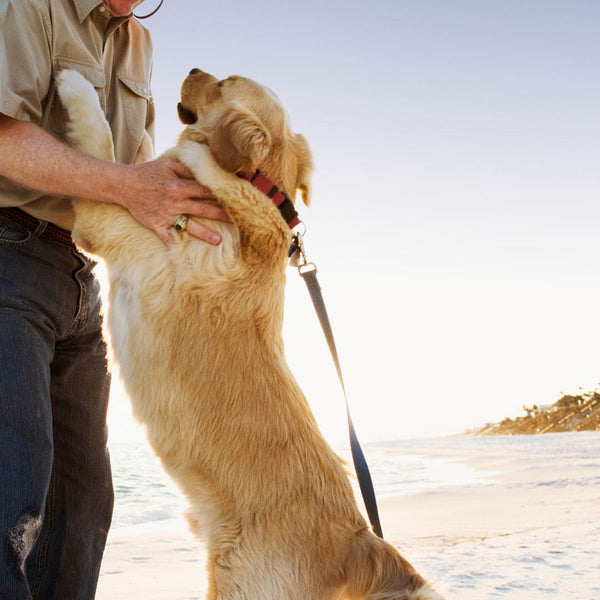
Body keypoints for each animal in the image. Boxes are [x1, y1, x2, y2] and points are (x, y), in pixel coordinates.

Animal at [54, 68, 442, 596]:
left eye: (224, 81)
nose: (191, 70)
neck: (253, 188)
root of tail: (361, 539)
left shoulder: (108, 223)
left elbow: (101, 142)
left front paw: (74, 84)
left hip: (242, 581)